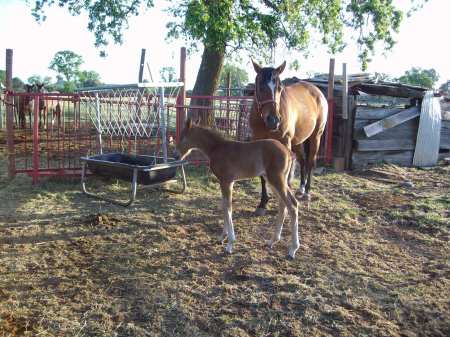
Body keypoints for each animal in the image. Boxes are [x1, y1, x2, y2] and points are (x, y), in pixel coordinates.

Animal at [178, 119, 300, 258]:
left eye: (182, 137)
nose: (176, 154)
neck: (216, 148)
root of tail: (288, 151)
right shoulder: (225, 182)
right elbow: (225, 206)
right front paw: (222, 237)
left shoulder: (226, 181)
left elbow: (228, 208)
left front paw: (230, 244)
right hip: (272, 180)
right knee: (284, 204)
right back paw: (272, 241)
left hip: (277, 180)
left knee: (292, 205)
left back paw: (292, 249)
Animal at [250, 59, 326, 214]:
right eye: (260, 86)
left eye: (280, 88)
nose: (273, 120)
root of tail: (317, 92)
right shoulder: (258, 142)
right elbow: (262, 175)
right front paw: (263, 203)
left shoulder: (285, 143)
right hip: (298, 141)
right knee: (302, 160)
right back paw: (301, 189)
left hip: (316, 137)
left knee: (310, 161)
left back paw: (307, 192)